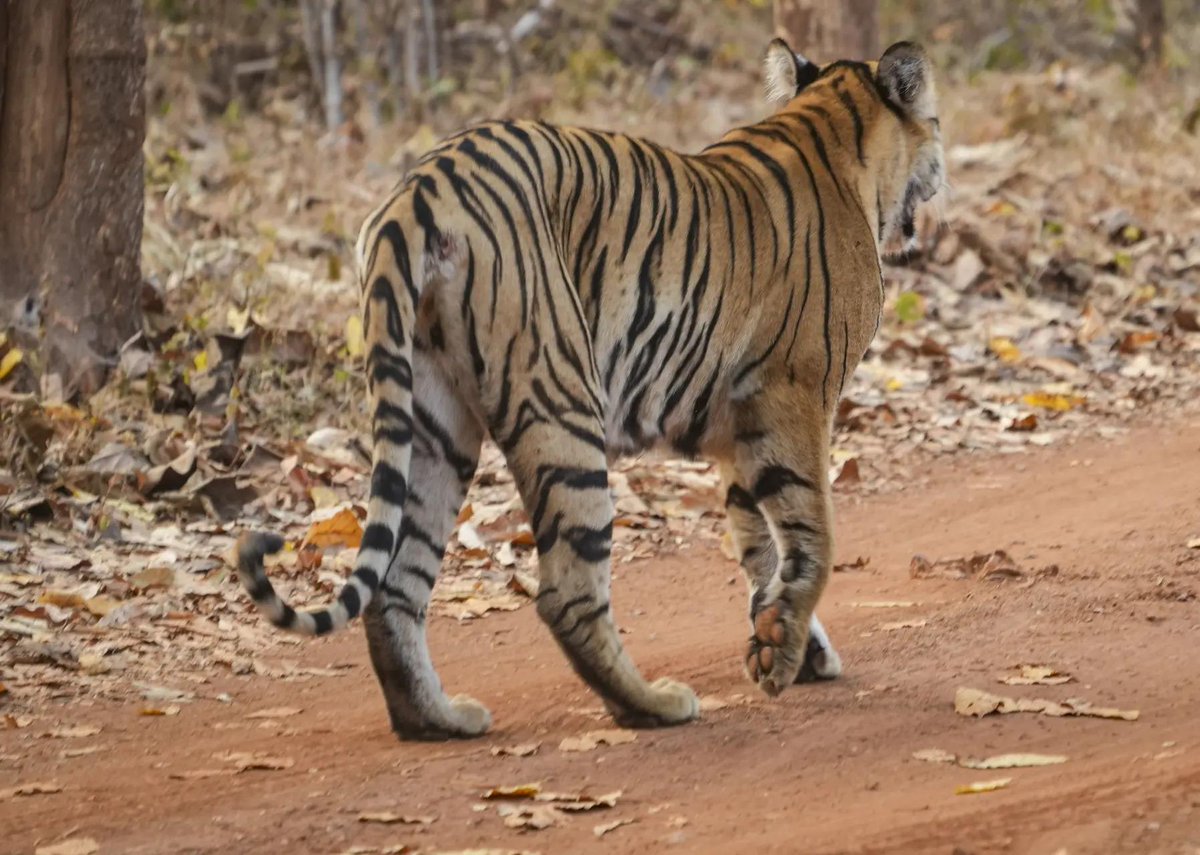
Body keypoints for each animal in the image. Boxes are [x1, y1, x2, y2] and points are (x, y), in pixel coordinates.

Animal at [237, 38, 945, 739]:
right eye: (934, 121)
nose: (942, 169)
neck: (835, 130)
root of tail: (422, 188)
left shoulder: (740, 428)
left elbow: (761, 546)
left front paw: (784, 644)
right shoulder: (794, 397)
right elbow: (812, 533)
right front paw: (785, 653)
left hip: (433, 422)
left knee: (395, 584)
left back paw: (437, 718)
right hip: (561, 403)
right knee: (566, 592)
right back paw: (652, 705)